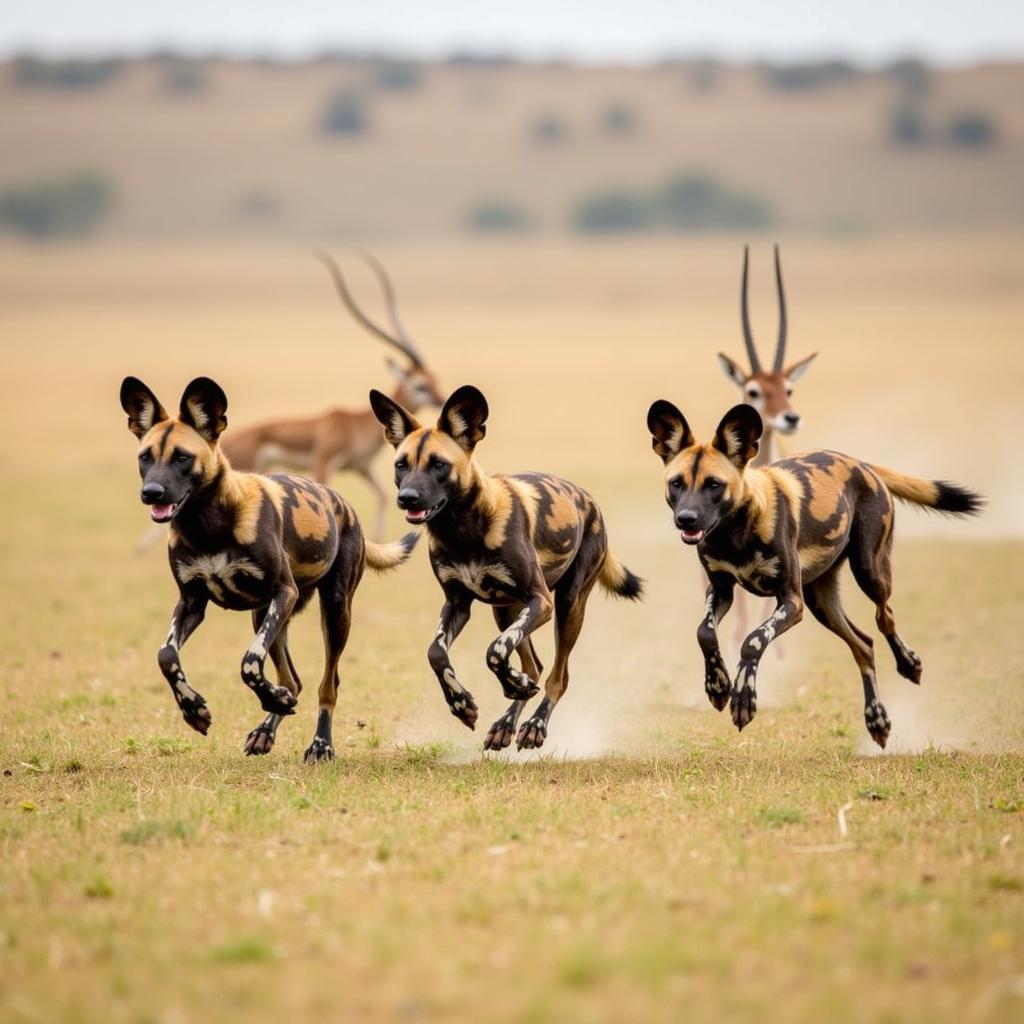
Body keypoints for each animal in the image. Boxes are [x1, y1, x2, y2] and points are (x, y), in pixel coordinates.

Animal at [121, 376, 417, 761]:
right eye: (145, 458)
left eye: (182, 458)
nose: (151, 492)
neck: (207, 527)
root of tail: (341, 501)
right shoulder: (192, 602)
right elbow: (166, 655)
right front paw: (193, 710)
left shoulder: (282, 593)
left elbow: (249, 662)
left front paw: (270, 701)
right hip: (266, 615)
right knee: (293, 680)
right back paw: (269, 721)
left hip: (333, 613)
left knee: (328, 684)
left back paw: (320, 745)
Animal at [220, 251, 444, 540]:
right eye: (420, 385)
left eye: (435, 380)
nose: (441, 400)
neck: (357, 423)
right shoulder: (323, 463)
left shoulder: (361, 467)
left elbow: (383, 496)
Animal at [368, 385, 638, 753]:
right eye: (401, 465)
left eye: (438, 464)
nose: (407, 497)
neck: (461, 532)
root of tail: (587, 498)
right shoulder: (457, 605)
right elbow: (436, 652)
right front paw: (461, 704)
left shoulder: (541, 601)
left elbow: (494, 651)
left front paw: (510, 687)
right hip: (506, 609)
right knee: (534, 666)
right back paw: (506, 721)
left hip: (566, 607)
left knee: (557, 676)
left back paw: (534, 725)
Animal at [647, 399, 983, 745]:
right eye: (677, 483)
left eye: (714, 485)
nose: (687, 519)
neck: (734, 535)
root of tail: (862, 464)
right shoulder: (721, 590)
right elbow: (705, 633)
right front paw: (717, 685)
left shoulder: (791, 602)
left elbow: (753, 640)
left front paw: (743, 698)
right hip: (822, 604)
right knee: (864, 645)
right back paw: (876, 719)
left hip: (868, 573)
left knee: (885, 617)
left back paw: (909, 664)